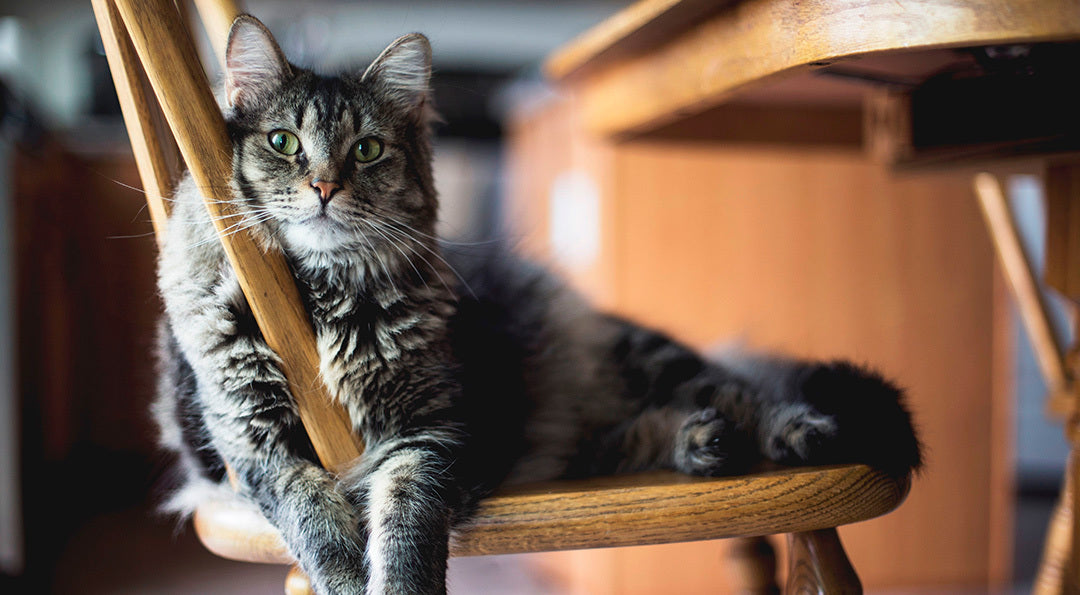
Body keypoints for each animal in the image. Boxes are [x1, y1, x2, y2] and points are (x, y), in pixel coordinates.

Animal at [156, 15, 924, 595]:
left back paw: (792, 431)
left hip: (648, 360)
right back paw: (700, 443)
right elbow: (313, 520)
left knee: (740, 391)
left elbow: (405, 524)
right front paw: (347, 577)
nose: (322, 187)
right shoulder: (254, 444)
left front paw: (395, 581)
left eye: (367, 150)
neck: (321, 296)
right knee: (633, 433)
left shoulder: (434, 433)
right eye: (283, 141)